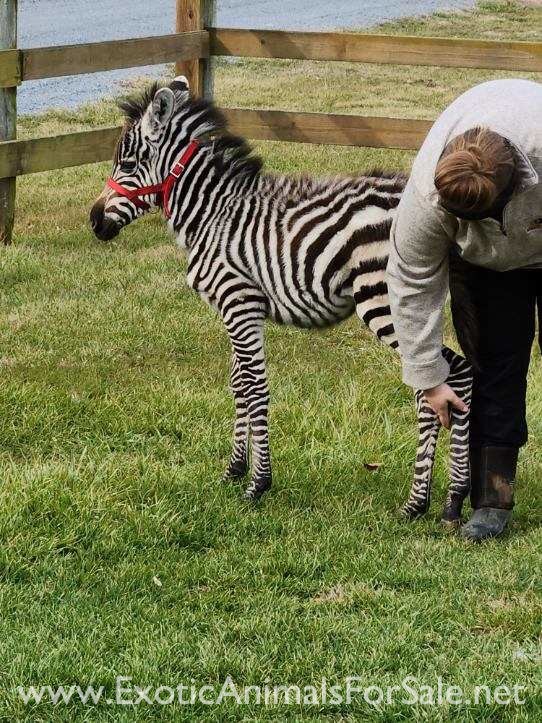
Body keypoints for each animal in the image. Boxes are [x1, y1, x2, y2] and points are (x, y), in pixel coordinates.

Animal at [90, 77, 473, 524]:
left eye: (128, 164)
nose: (94, 222)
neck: (212, 215)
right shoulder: (236, 310)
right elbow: (238, 384)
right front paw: (235, 469)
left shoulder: (239, 302)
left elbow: (256, 387)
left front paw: (258, 484)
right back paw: (445, 499)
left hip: (385, 299)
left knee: (448, 379)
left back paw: (428, 502)